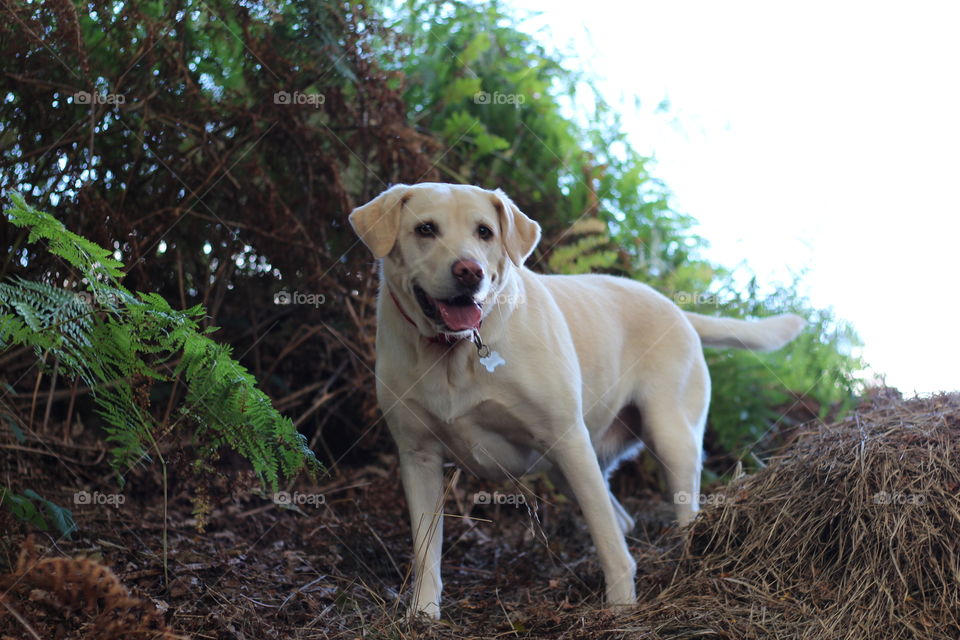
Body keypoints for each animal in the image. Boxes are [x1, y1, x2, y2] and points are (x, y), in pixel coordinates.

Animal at [348, 182, 808, 616]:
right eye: (425, 229)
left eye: (485, 232)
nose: (469, 271)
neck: (455, 351)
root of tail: (676, 308)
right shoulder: (418, 457)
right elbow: (426, 552)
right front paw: (422, 613)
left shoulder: (568, 438)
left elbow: (608, 542)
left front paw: (621, 607)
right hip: (566, 469)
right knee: (620, 518)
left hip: (665, 438)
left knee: (665, 512)